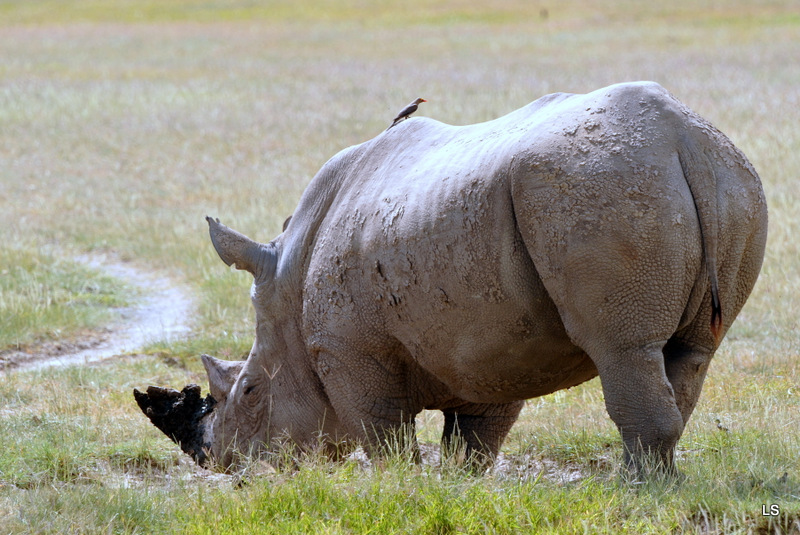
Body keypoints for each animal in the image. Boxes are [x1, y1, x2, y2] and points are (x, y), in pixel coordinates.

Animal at [136, 81, 768, 476]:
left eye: (247, 391)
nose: (223, 464)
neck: (288, 286)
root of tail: (682, 138)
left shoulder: (348, 349)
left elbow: (384, 436)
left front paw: (399, 489)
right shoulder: (494, 344)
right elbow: (475, 441)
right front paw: (460, 487)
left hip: (600, 187)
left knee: (624, 348)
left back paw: (633, 490)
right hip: (730, 182)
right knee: (690, 352)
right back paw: (658, 480)